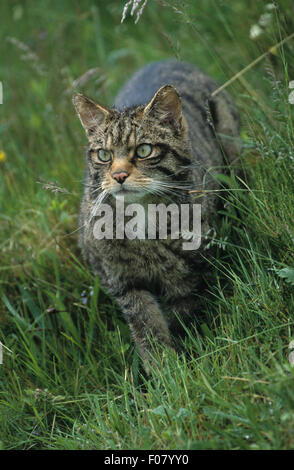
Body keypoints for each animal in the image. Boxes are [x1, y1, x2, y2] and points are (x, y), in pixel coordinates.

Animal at [72, 60, 240, 372]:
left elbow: (179, 318)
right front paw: (163, 367)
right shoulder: (122, 281)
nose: (118, 175)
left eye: (144, 150)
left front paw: (177, 365)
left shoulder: (188, 275)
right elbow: (146, 325)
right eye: (103, 155)